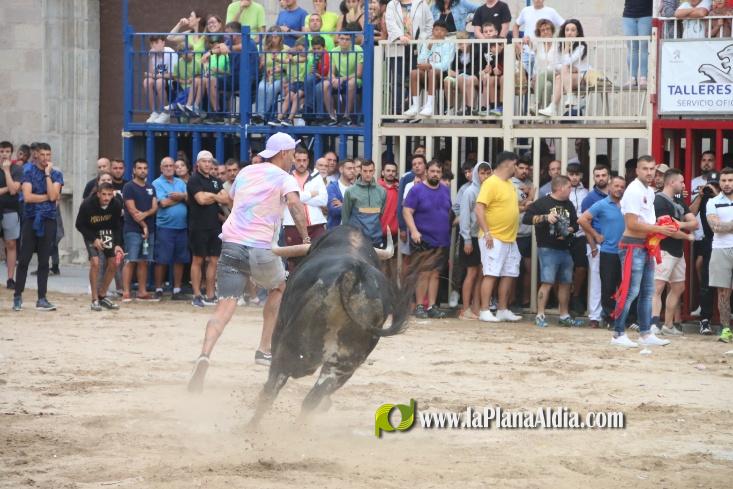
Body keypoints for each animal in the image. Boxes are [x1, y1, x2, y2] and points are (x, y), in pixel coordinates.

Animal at [248, 225, 433, 427]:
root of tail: (353, 274)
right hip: (344, 364)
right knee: (313, 397)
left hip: (294, 348)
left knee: (274, 386)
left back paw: (251, 427)